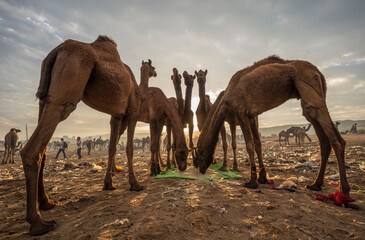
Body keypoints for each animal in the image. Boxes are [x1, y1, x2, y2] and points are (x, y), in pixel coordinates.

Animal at [19, 36, 143, 235]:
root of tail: (55, 51)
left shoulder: (116, 115)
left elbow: (112, 147)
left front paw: (108, 184)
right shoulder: (132, 111)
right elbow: (129, 148)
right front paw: (135, 184)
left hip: (44, 99)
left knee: (43, 152)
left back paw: (47, 202)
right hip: (66, 92)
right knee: (32, 150)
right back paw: (39, 223)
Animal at [196, 56, 350, 197]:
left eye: (199, 152)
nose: (200, 169)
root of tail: (318, 72)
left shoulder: (241, 111)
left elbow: (249, 146)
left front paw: (252, 181)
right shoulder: (251, 115)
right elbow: (258, 144)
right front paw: (262, 177)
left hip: (309, 85)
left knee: (335, 138)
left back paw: (344, 191)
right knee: (323, 139)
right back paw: (315, 185)